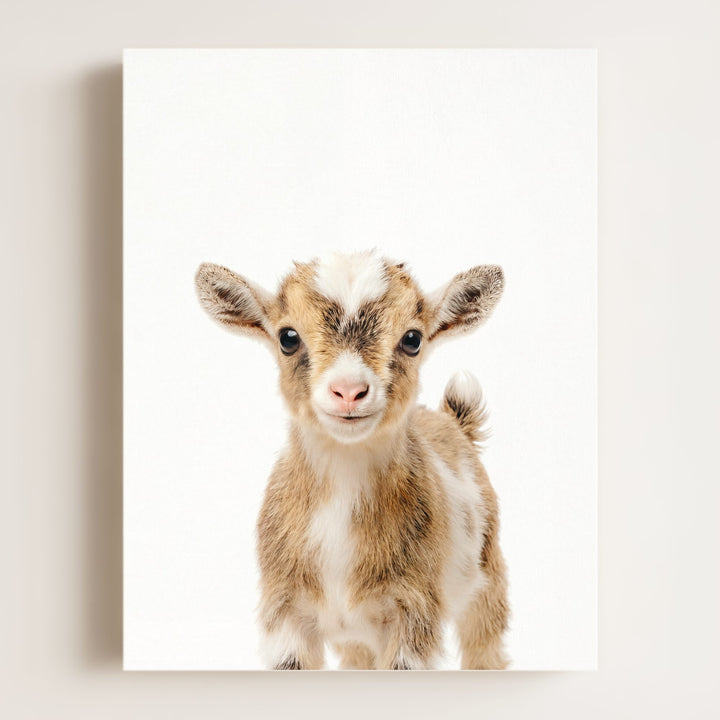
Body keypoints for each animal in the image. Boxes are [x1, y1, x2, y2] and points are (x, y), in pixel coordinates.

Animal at [195, 250, 509, 669]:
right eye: (288, 337)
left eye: (412, 339)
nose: (348, 391)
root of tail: (453, 420)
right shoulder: (285, 612)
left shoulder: (413, 611)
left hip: (488, 577)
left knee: (485, 645)